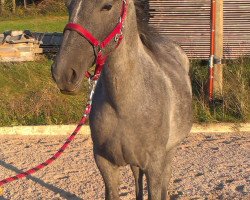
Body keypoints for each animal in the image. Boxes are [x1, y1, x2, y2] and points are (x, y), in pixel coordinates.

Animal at [50, 0, 191, 199]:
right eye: (69, 7)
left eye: (107, 6)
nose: (62, 73)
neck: (124, 105)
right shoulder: (105, 164)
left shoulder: (155, 166)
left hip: (170, 151)